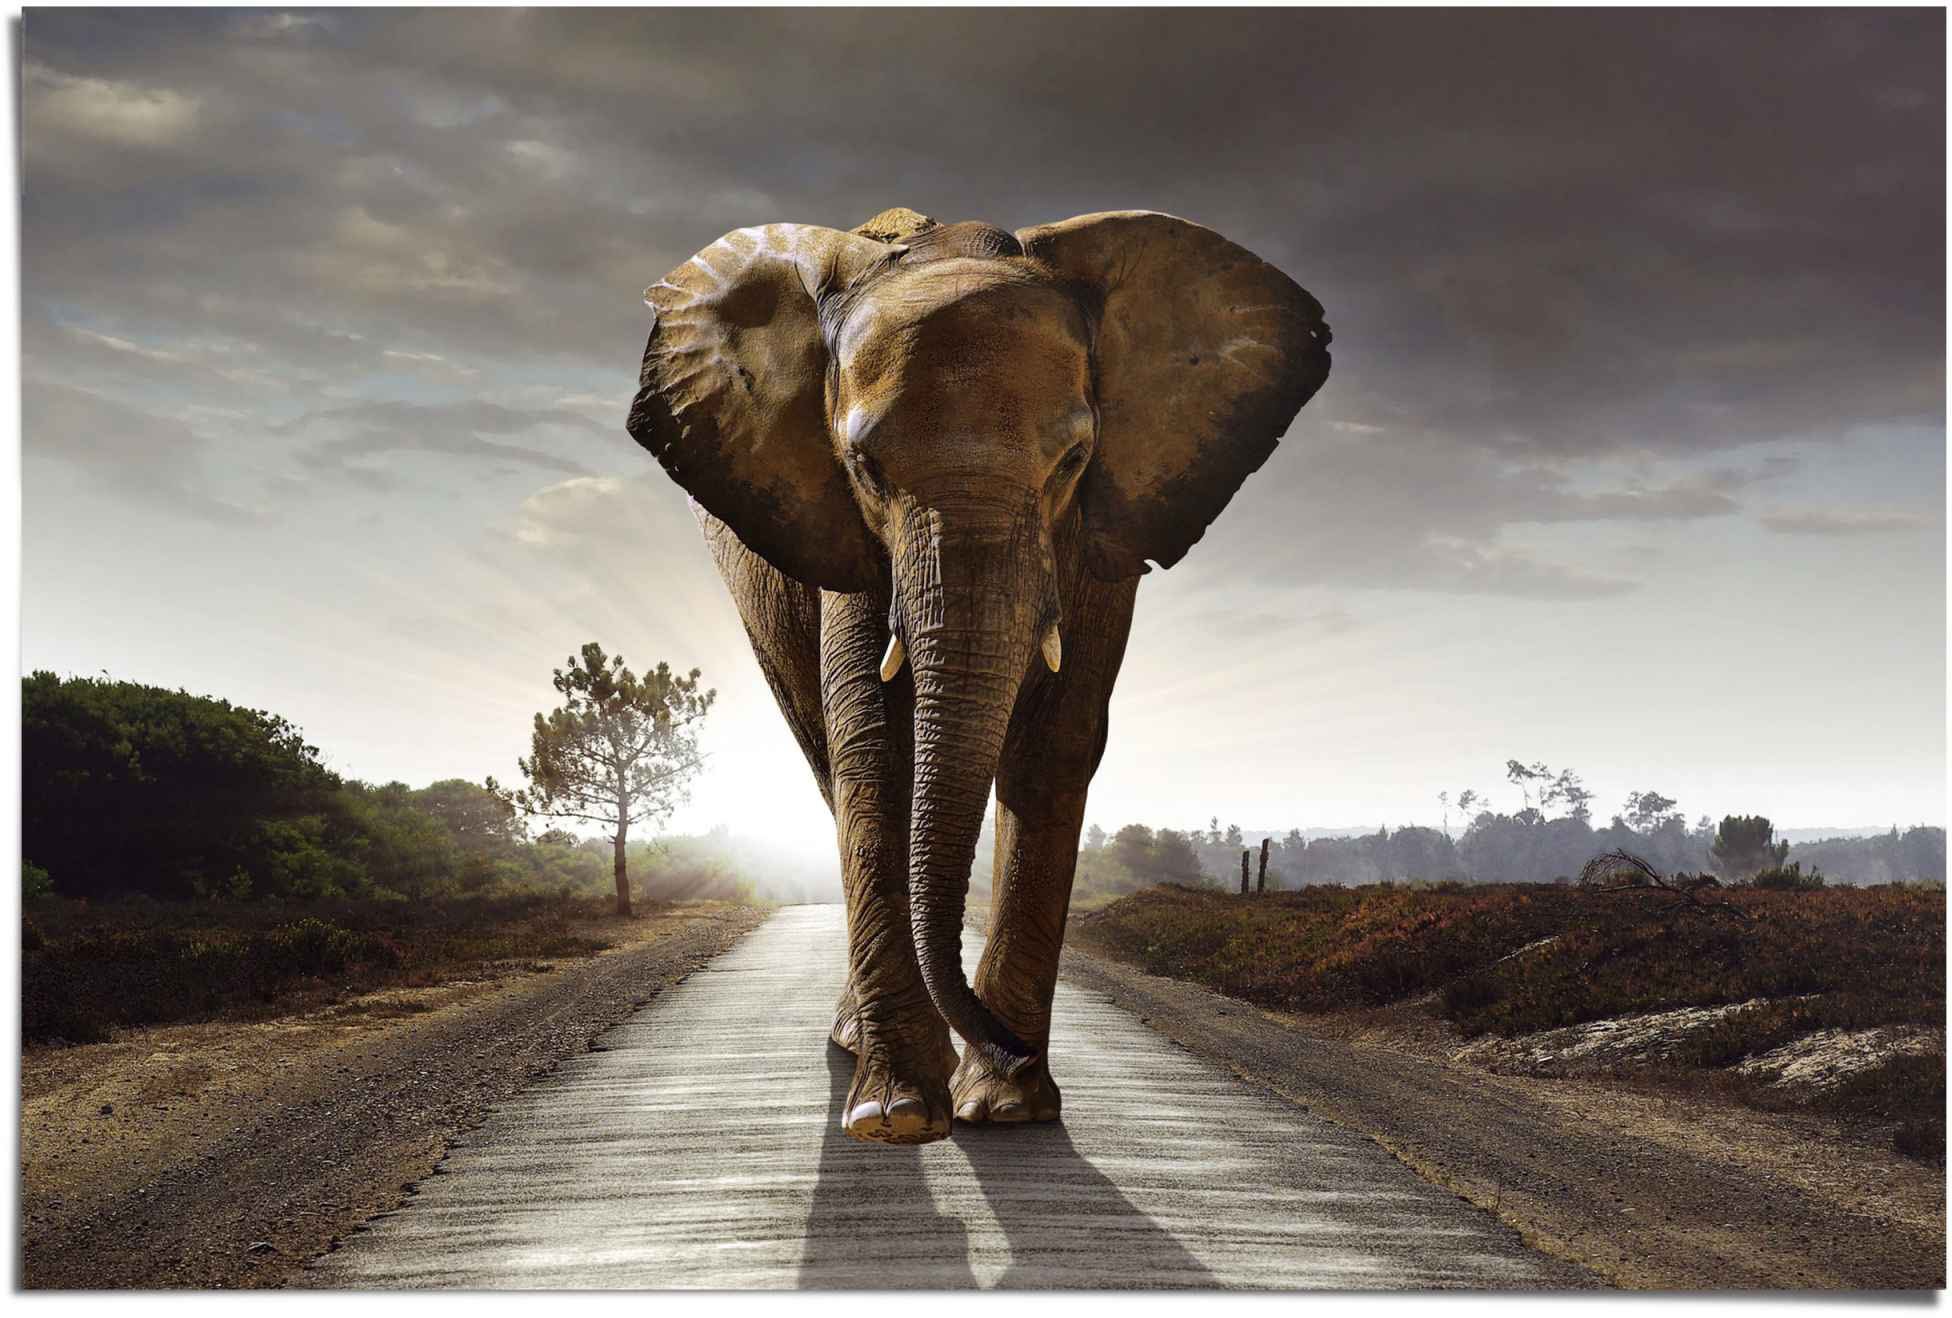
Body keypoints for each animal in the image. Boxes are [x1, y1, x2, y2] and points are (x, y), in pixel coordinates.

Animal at [627, 206, 1330, 1145]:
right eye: (865, 468)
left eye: (1073, 460)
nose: (1009, 1047)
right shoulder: (846, 537)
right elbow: (874, 745)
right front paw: (896, 1116)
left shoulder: (1102, 534)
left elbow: (1056, 743)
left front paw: (1006, 1106)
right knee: (825, 759)